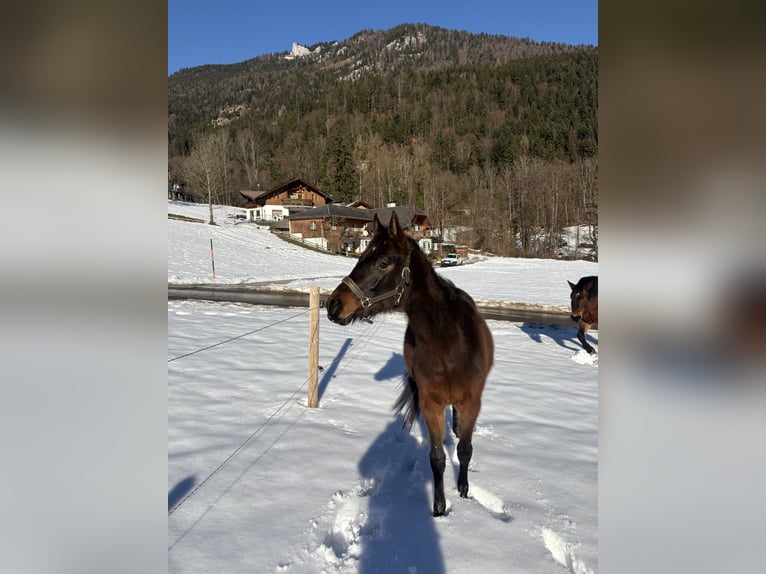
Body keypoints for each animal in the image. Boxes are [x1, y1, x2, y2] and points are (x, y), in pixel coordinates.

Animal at [326, 212, 494, 517]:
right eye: (360, 256)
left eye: (382, 263)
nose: (333, 305)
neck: (449, 348)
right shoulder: (431, 405)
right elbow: (437, 457)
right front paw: (439, 507)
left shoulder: (472, 403)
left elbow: (465, 450)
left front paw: (464, 491)